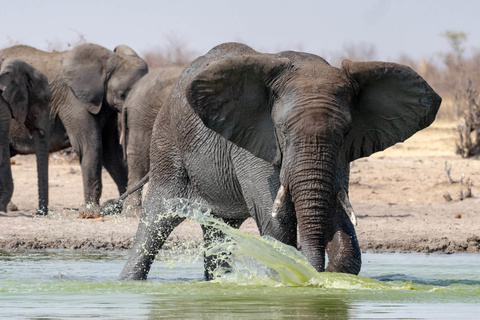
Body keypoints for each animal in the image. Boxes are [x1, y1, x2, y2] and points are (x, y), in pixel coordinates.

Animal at [121, 42, 442, 280]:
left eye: (346, 132)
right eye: (283, 131)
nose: (318, 271)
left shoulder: (341, 158)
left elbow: (338, 220)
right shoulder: (254, 141)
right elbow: (278, 225)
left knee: (218, 230)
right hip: (167, 144)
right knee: (156, 220)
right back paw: (129, 282)